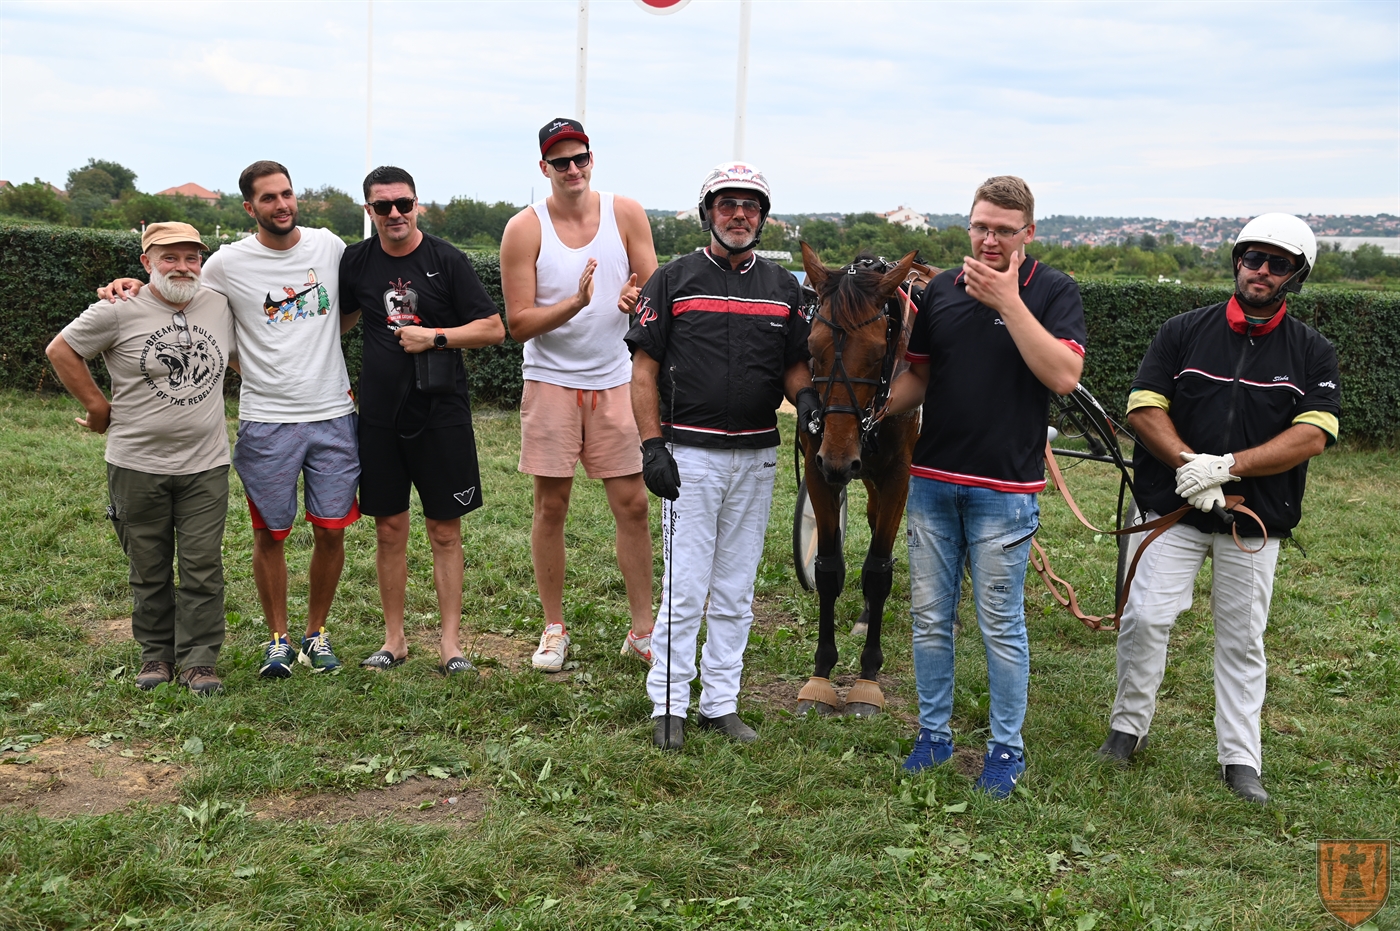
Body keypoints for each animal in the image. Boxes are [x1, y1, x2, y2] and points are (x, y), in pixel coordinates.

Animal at [793, 244, 932, 717]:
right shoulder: (819, 468)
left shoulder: (899, 475)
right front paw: (820, 674)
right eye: (812, 348)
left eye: (874, 353)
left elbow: (877, 571)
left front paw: (867, 678)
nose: (839, 459)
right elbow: (829, 569)